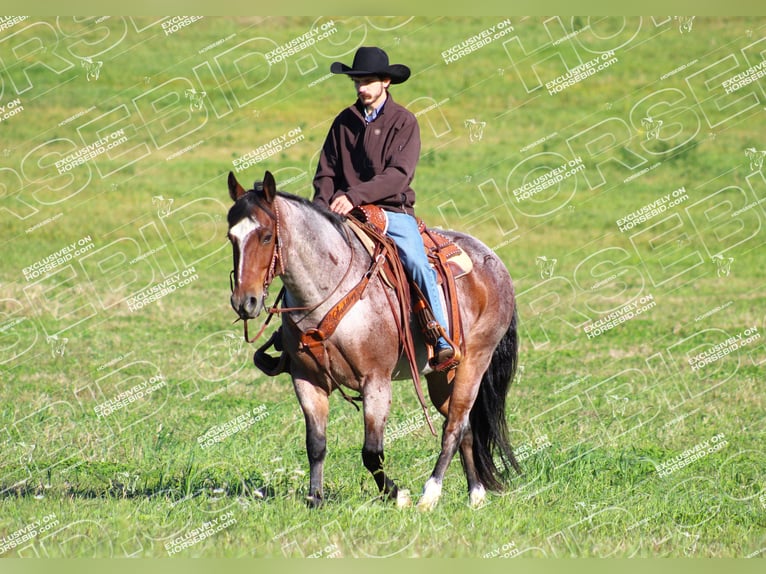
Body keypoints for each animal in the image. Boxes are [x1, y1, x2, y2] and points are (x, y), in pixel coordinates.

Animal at [225, 171, 520, 512]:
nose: (244, 302)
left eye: (265, 236)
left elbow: (371, 452)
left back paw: (430, 494)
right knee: (467, 427)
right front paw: (315, 499)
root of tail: (495, 261)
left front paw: (398, 495)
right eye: (231, 237)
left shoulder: (376, 381)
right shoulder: (306, 379)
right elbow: (316, 443)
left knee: (454, 426)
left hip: (475, 360)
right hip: (442, 375)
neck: (328, 292)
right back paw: (475, 493)